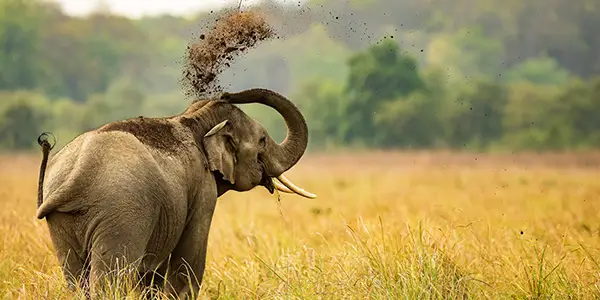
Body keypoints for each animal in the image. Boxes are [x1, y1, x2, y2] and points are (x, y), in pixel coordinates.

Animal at [33, 88, 316, 298]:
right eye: (263, 140)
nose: (227, 93)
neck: (194, 119)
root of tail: (79, 171)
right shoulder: (202, 189)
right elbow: (190, 255)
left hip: (63, 220)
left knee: (75, 278)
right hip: (121, 213)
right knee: (110, 278)